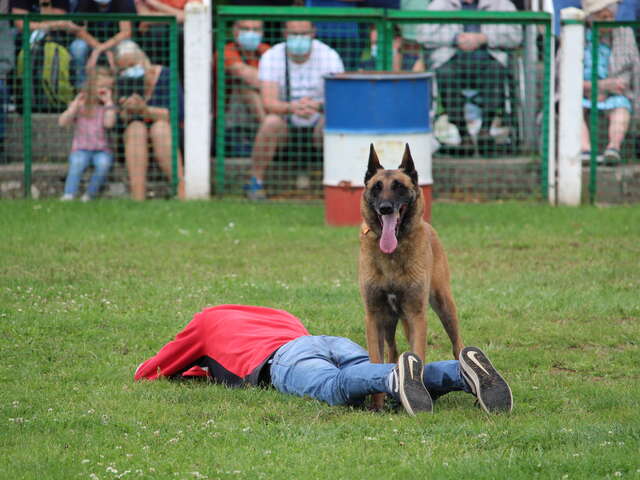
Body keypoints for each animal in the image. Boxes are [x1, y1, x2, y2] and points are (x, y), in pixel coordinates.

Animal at [358, 143, 462, 408]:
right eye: (376, 187)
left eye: (399, 187)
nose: (385, 208)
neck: (392, 256)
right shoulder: (374, 316)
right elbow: (376, 359)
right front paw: (376, 404)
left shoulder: (417, 316)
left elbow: (417, 355)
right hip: (390, 321)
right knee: (392, 351)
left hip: (444, 306)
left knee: (457, 345)